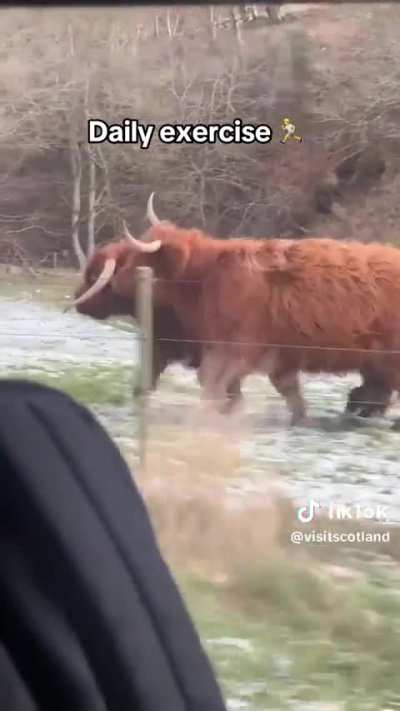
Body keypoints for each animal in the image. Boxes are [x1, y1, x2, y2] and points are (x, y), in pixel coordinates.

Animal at [68, 193, 399, 425]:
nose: (78, 298)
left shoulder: (232, 350)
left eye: (138, 260)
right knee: (370, 395)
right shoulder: (272, 360)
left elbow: (216, 388)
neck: (203, 281)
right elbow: (289, 397)